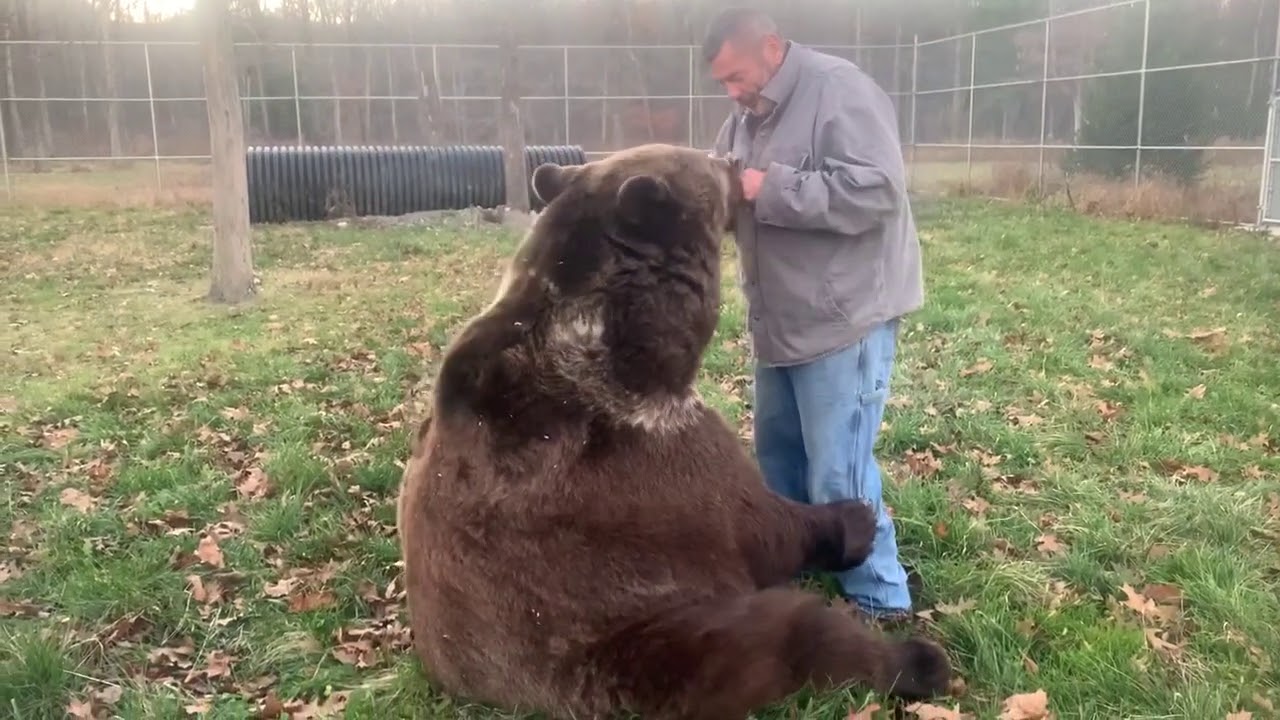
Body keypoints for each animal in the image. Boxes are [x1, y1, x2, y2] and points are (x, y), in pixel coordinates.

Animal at [395, 142, 951, 720]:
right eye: (711, 162)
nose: (735, 163)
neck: (635, 349)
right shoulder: (647, 459)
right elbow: (759, 524)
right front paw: (853, 518)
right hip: (635, 644)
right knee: (789, 635)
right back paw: (917, 661)